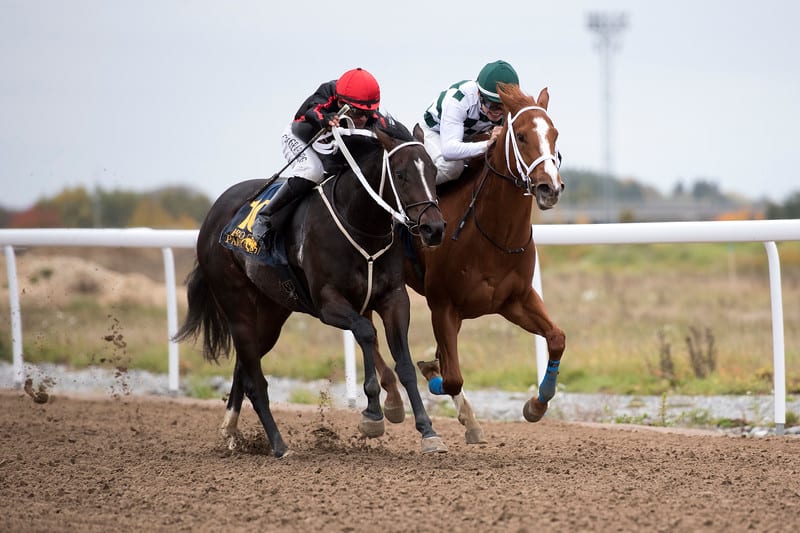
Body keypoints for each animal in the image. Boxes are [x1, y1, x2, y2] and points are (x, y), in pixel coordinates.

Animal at [176, 120, 450, 458]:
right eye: (400, 174)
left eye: (432, 171)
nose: (434, 229)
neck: (361, 223)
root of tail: (213, 216)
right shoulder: (328, 303)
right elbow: (365, 333)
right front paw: (372, 414)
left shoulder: (393, 299)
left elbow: (405, 364)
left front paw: (428, 432)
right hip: (236, 306)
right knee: (255, 381)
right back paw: (279, 445)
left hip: (271, 314)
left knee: (244, 367)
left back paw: (230, 431)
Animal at [374, 83, 564, 440]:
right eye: (520, 136)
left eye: (555, 134)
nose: (550, 187)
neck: (494, 235)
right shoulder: (443, 305)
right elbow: (450, 377)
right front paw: (431, 372)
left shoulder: (515, 300)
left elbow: (557, 338)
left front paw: (536, 405)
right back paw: (391, 402)